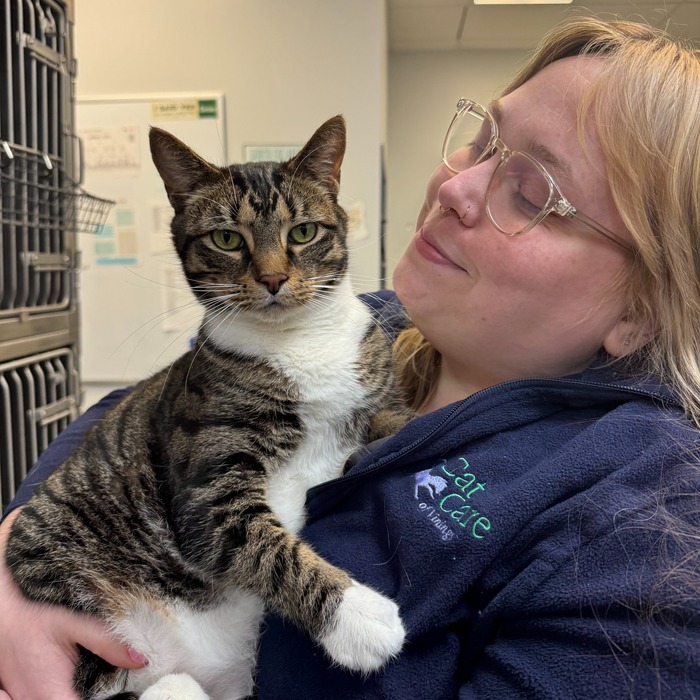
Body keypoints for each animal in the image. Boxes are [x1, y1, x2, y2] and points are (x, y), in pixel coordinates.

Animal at [5, 117, 410, 696]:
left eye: (303, 233)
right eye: (227, 239)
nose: (272, 279)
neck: (298, 341)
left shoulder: (377, 394)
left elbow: (396, 419)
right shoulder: (208, 493)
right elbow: (266, 547)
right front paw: (358, 618)